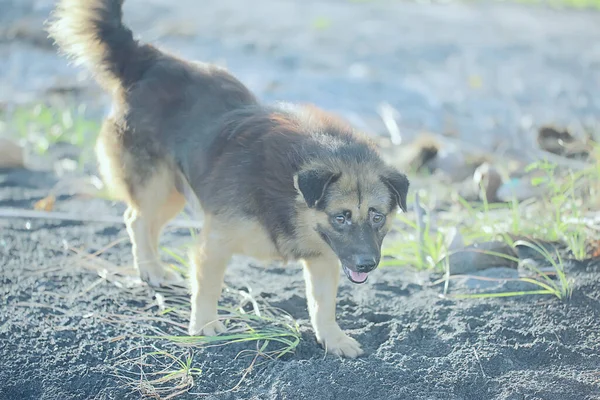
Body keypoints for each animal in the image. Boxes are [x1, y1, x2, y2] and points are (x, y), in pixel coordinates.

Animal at [49, 0, 410, 358]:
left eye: (377, 217)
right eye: (341, 217)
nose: (367, 264)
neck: (288, 188)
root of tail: (148, 59)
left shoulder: (323, 256)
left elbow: (323, 305)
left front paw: (333, 338)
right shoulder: (215, 243)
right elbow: (207, 288)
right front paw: (205, 326)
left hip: (173, 192)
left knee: (143, 222)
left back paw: (155, 268)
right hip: (156, 185)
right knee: (136, 219)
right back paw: (151, 269)